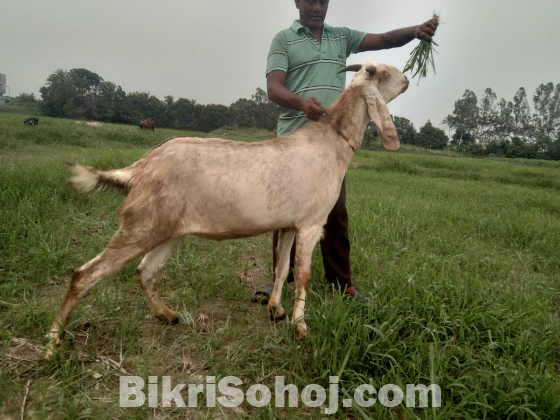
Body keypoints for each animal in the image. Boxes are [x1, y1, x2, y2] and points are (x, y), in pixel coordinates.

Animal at [46, 61, 410, 358]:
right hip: (142, 225)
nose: (407, 80)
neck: (332, 142)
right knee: (84, 275)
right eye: (384, 73)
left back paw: (168, 316)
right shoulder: (311, 223)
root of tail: (137, 170)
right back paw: (53, 345)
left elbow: (282, 268)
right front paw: (301, 328)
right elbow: (304, 275)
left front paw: (276, 310)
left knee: (145, 271)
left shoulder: (289, 224)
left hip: (168, 230)